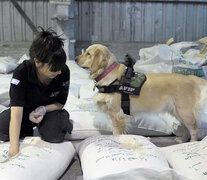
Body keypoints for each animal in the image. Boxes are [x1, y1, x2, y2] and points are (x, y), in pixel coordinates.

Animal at [75, 43, 207, 142]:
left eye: (88, 54)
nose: (75, 58)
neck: (109, 76)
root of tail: (190, 78)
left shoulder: (117, 114)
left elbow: (116, 133)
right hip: (178, 112)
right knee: (186, 128)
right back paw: (182, 140)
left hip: (184, 112)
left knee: (194, 129)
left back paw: (192, 143)